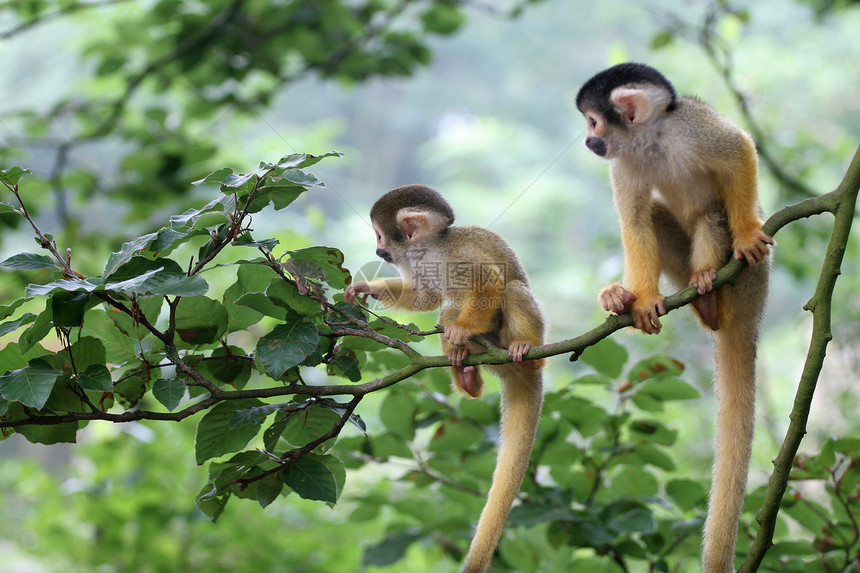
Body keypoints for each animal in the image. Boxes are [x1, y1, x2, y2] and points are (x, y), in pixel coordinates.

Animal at [344, 185, 540, 572]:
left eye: (379, 235)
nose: (378, 251)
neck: (429, 250)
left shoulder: (457, 256)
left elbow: (489, 282)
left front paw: (462, 329)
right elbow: (426, 298)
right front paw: (366, 288)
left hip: (515, 342)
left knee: (511, 290)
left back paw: (524, 350)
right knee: (446, 309)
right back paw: (464, 370)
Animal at [576, 63, 772, 572]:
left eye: (594, 121)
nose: (588, 140)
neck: (651, 140)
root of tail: (752, 314)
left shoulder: (691, 127)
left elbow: (739, 150)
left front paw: (748, 232)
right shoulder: (623, 163)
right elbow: (636, 221)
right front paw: (641, 300)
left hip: (750, 281)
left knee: (713, 215)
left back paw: (710, 284)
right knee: (658, 215)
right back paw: (637, 300)